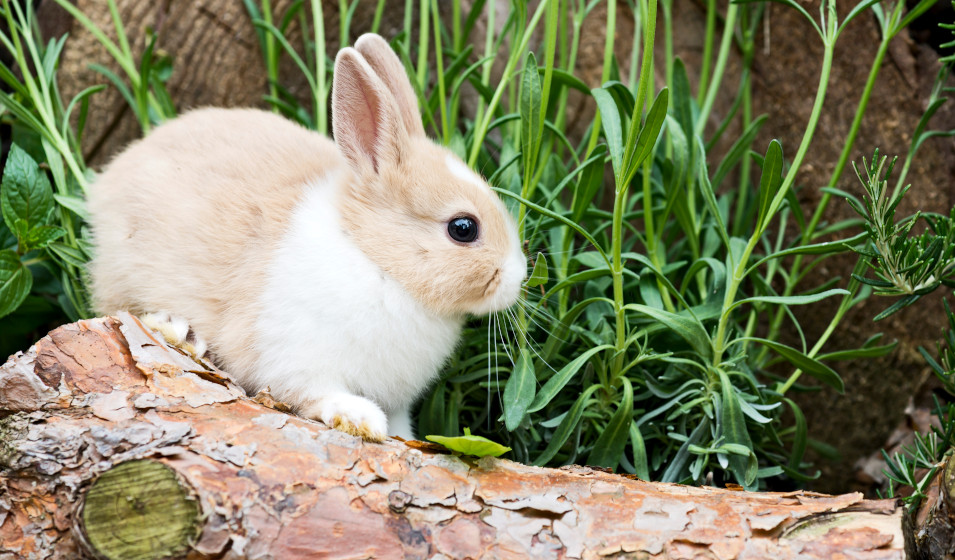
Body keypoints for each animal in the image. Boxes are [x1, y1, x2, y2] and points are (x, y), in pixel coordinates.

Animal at [86, 33, 527, 442]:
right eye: (463, 228)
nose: (519, 277)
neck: (374, 260)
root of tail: (111, 177)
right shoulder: (295, 360)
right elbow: (316, 393)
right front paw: (361, 419)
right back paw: (177, 331)